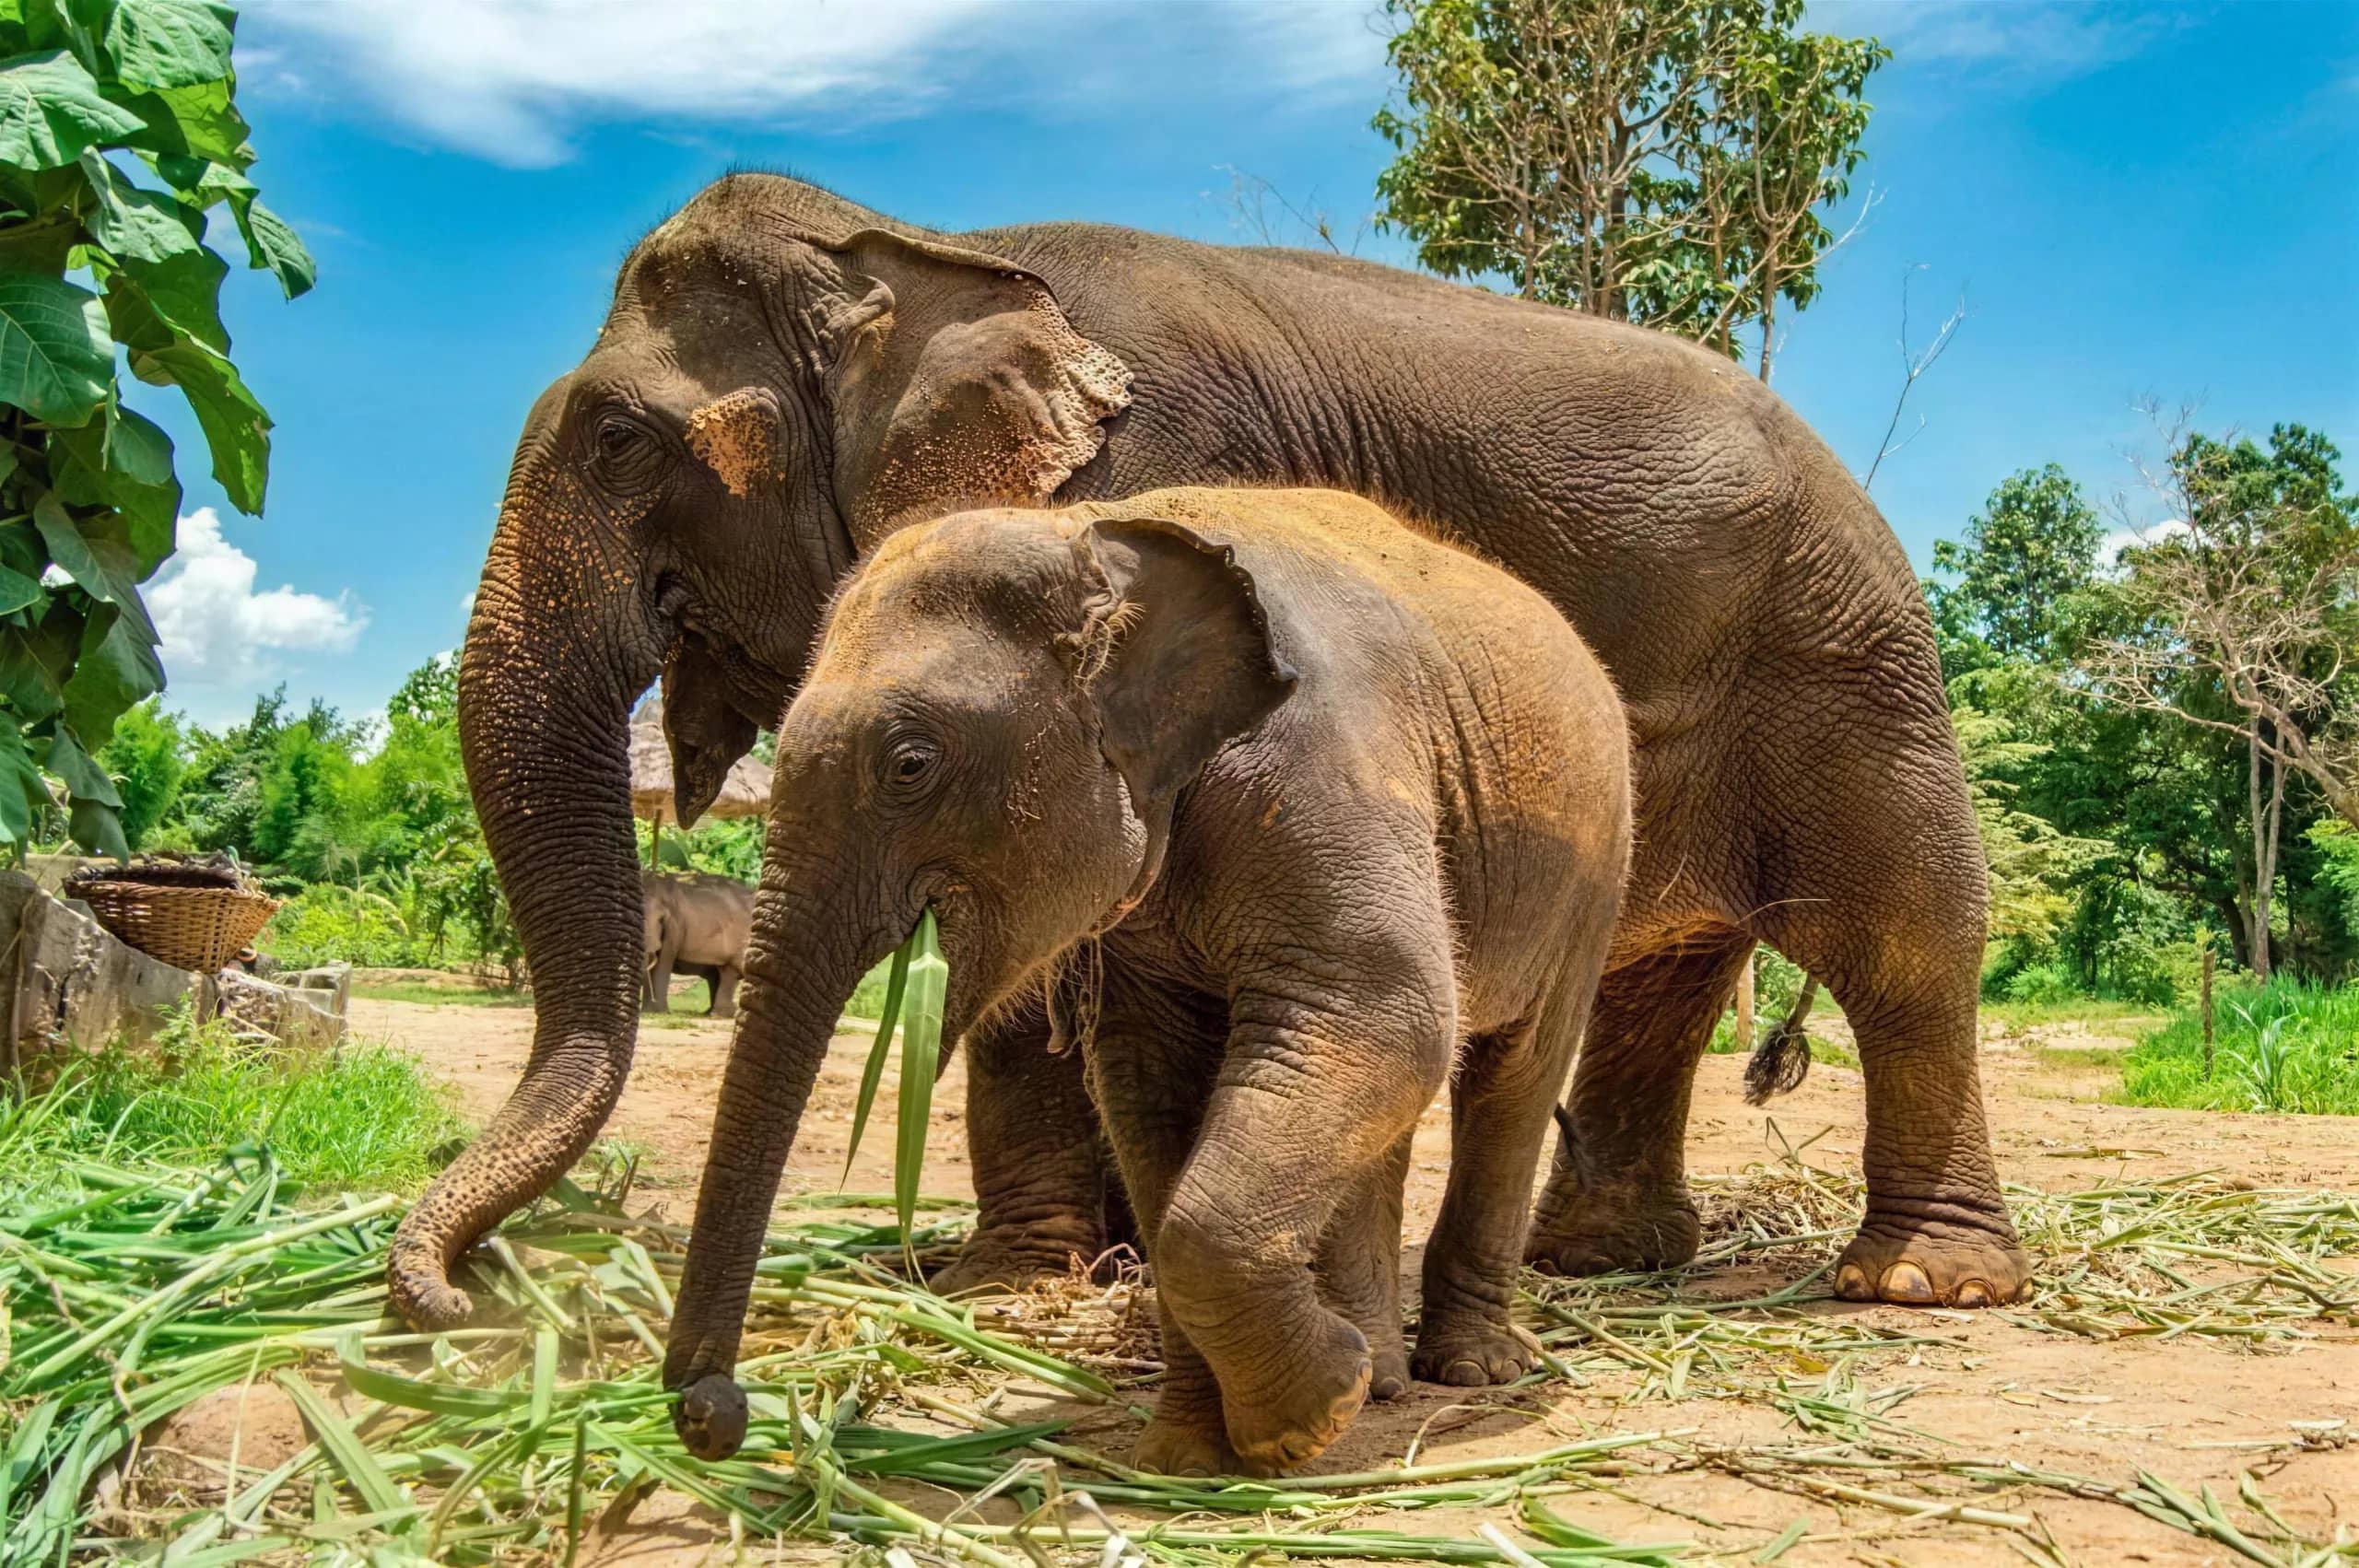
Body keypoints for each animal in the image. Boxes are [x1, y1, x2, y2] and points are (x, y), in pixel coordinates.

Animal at [640, 869, 753, 1017]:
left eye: (660, 919)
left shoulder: (675, 923)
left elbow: (664, 960)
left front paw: (658, 1013)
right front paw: (650, 1011)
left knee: (730, 970)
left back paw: (721, 1014)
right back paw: (712, 1012)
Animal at [661, 487, 1634, 1475]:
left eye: (909, 764)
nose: (713, 1413)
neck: (1097, 531)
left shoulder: (1326, 765)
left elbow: (1385, 1013)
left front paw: (1309, 1414)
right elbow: (1150, 1078)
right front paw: (1194, 1454)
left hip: (1596, 863)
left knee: (1512, 1075)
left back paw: (1471, 1370)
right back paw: (1385, 1377)